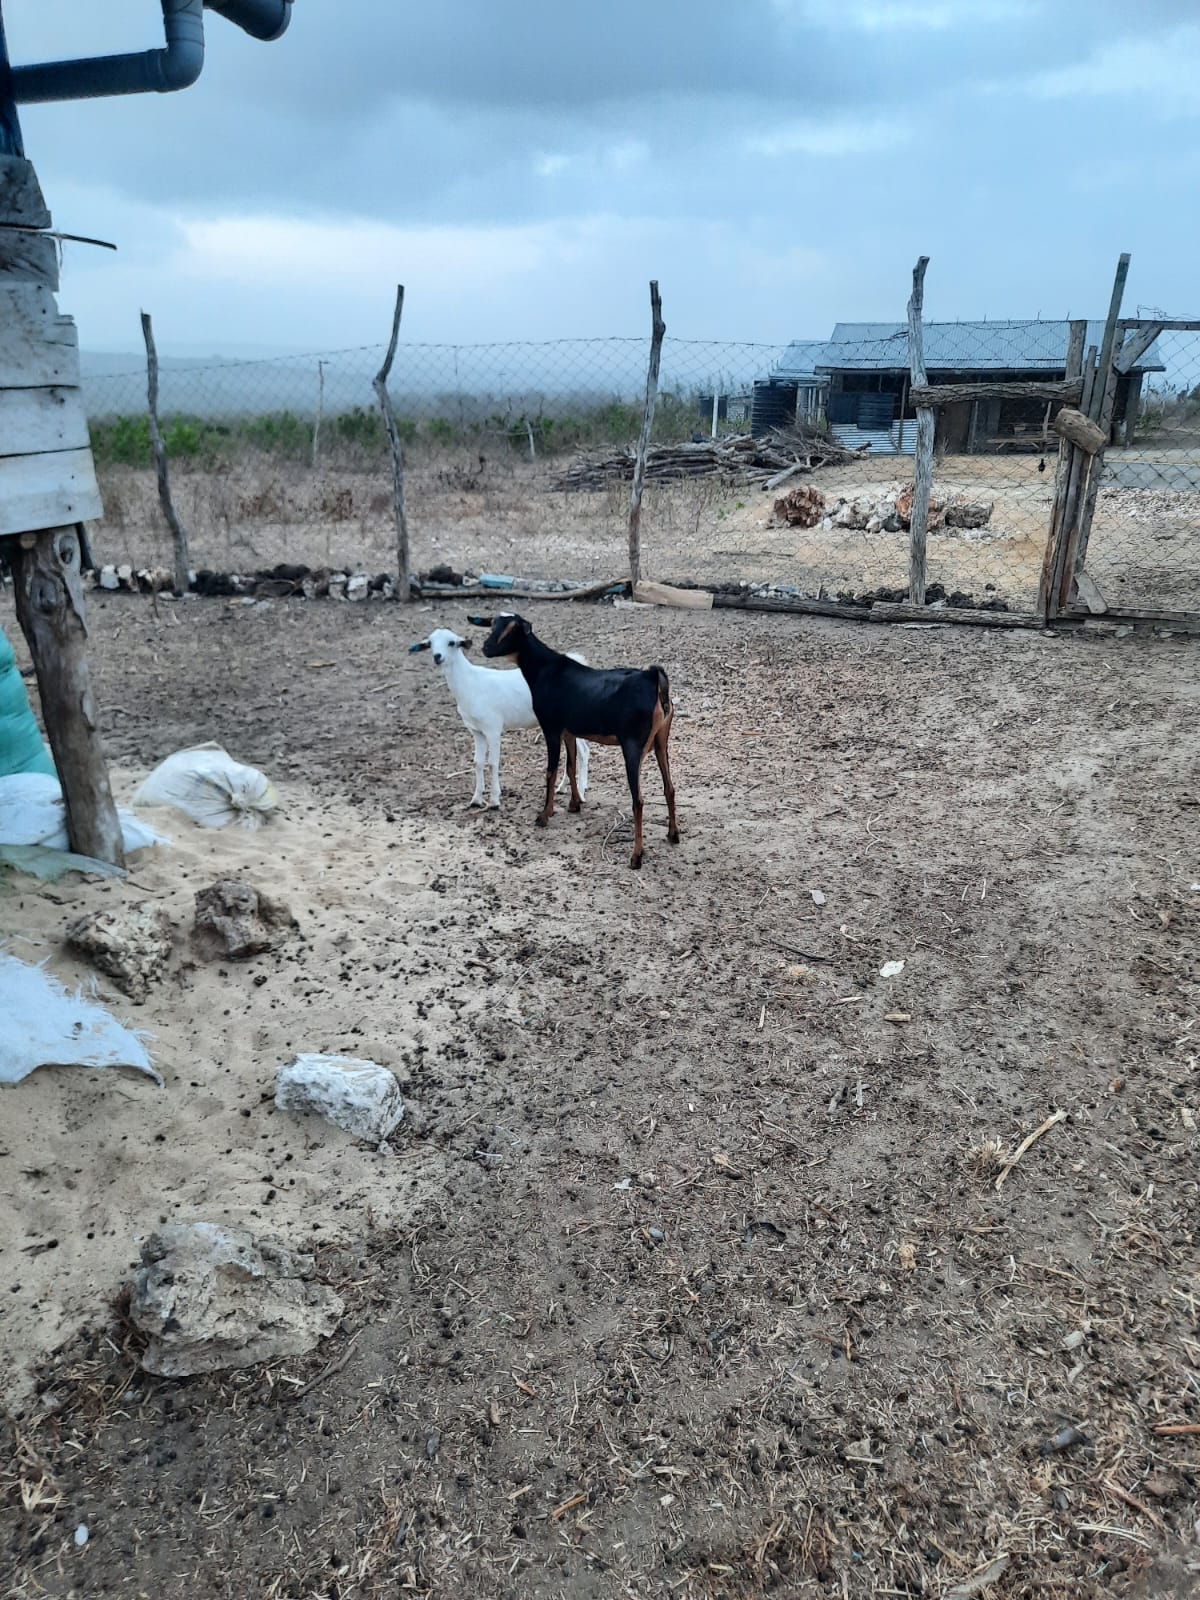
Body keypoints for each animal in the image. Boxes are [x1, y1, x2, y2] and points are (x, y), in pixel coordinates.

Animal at [410, 627, 589, 810]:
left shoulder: (493, 728)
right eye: (430, 643)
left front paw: (494, 801)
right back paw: (563, 788)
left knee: (584, 752)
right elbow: (478, 762)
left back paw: (581, 793)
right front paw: (476, 799)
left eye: (451, 642)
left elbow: (492, 763)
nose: (437, 656)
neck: (469, 683)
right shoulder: (477, 731)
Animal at [471, 612, 679, 869]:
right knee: (669, 787)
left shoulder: (550, 727)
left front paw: (544, 815)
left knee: (638, 800)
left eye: (511, 629)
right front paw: (574, 804)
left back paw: (636, 856)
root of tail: (653, 678)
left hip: (633, 744)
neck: (544, 670)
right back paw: (673, 834)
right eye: (492, 625)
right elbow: (570, 766)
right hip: (661, 739)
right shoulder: (568, 730)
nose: (486, 648)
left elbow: (551, 771)